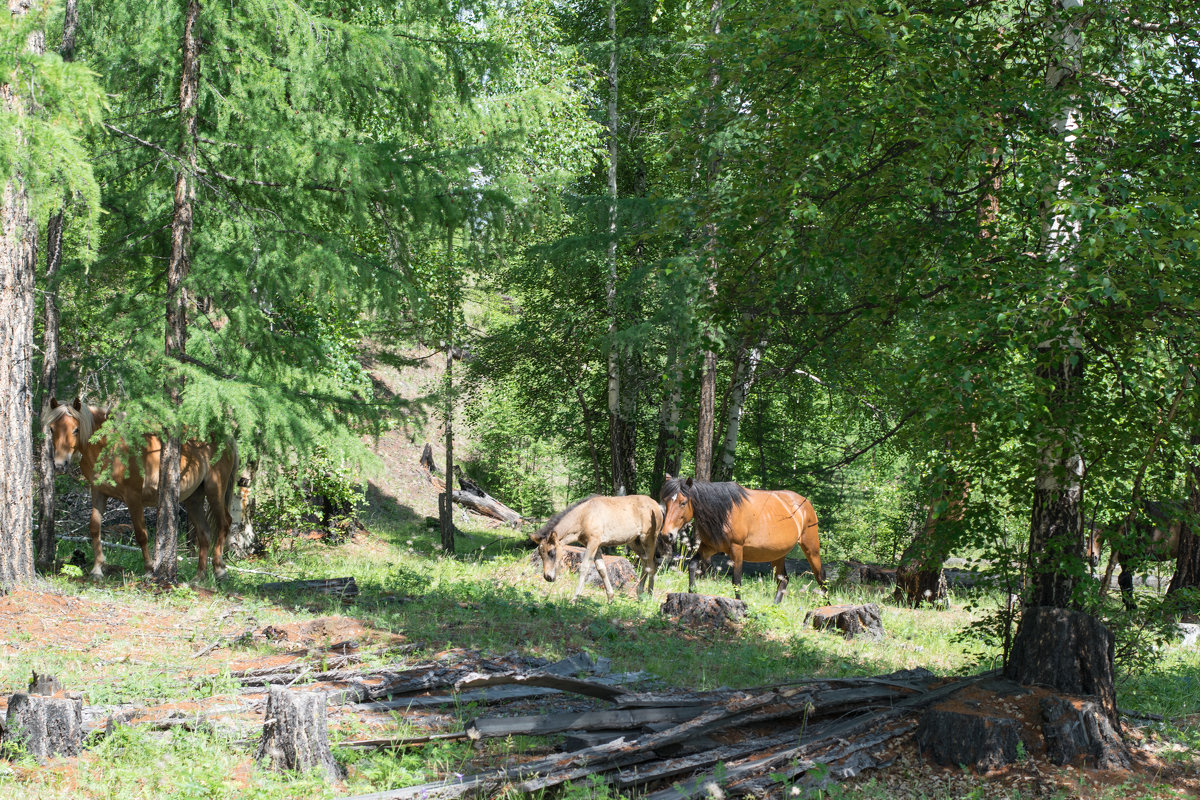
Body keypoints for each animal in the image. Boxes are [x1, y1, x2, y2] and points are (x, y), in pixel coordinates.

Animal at [43, 398, 238, 582]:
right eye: (52, 429)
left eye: (76, 430)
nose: (59, 465)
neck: (111, 447)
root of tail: (226, 438)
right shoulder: (98, 492)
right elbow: (94, 528)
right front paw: (97, 569)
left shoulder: (133, 497)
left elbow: (141, 534)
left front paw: (149, 569)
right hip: (193, 498)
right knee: (204, 533)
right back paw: (199, 576)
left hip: (215, 489)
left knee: (225, 522)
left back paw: (220, 570)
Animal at [532, 494, 667, 599]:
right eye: (540, 554)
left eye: (551, 552)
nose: (548, 577)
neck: (584, 516)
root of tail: (658, 506)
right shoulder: (596, 546)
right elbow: (601, 569)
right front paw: (610, 597)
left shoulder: (593, 542)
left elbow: (584, 567)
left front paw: (574, 598)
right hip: (634, 542)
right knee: (645, 562)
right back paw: (640, 593)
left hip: (648, 539)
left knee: (651, 565)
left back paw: (649, 595)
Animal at [657, 474, 825, 599]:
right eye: (666, 501)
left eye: (683, 502)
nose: (667, 535)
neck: (724, 512)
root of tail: (806, 503)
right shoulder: (709, 548)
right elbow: (692, 566)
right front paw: (692, 592)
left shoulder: (736, 549)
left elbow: (736, 581)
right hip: (778, 554)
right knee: (783, 580)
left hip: (811, 549)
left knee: (821, 578)